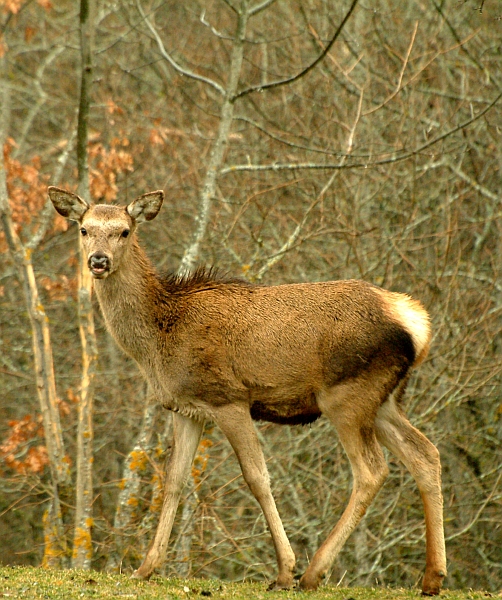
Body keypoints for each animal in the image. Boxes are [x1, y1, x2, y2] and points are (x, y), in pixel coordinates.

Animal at [48, 186, 448, 596]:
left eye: (125, 231)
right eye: (84, 228)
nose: (99, 261)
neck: (158, 341)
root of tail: (417, 324)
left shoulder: (228, 398)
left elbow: (257, 478)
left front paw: (285, 570)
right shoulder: (186, 409)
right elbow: (173, 482)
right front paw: (145, 568)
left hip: (347, 395)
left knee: (372, 471)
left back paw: (313, 572)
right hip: (384, 400)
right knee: (425, 454)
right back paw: (432, 577)